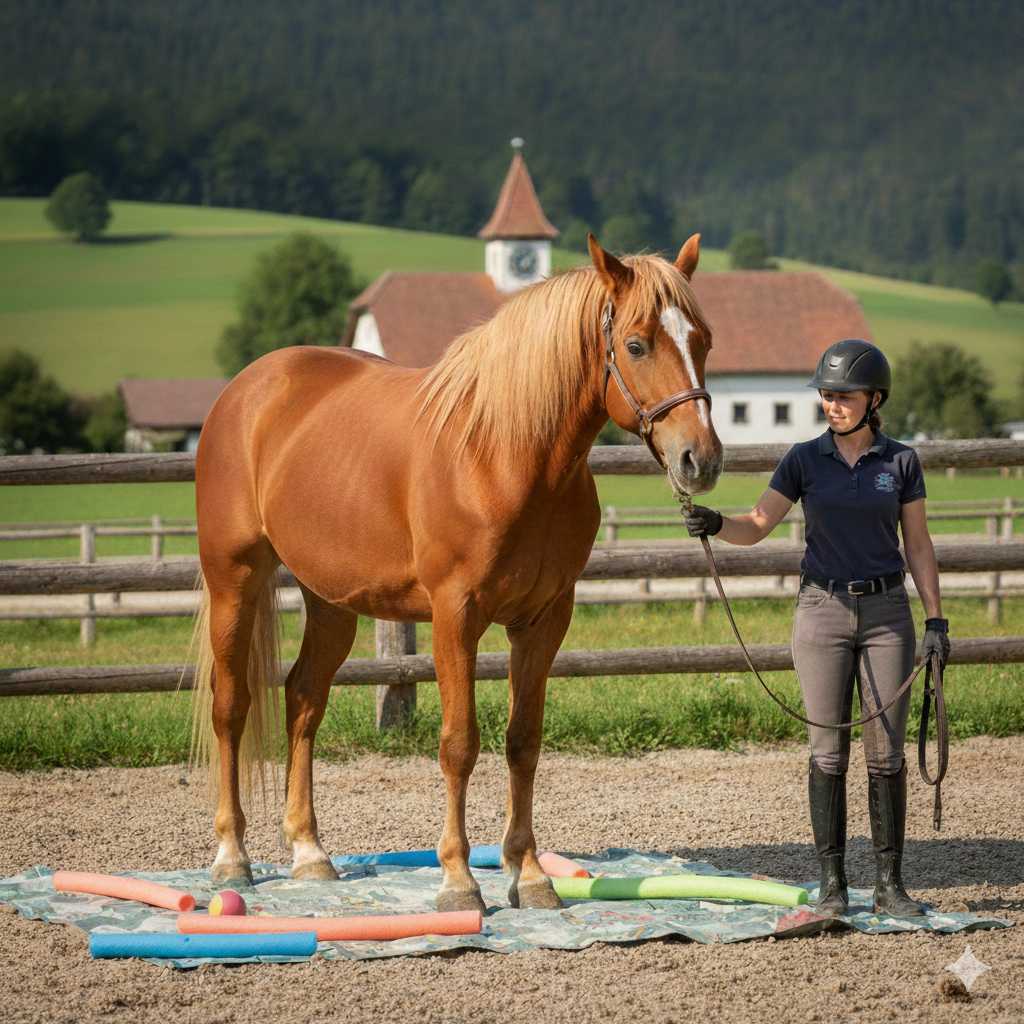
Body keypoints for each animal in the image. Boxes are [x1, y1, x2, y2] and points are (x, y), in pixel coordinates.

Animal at [189, 233, 723, 912]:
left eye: (702, 340)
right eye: (636, 344)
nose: (700, 459)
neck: (502, 454)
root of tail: (247, 389)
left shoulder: (544, 620)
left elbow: (523, 741)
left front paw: (530, 876)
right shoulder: (455, 615)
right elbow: (458, 743)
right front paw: (459, 881)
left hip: (331, 600)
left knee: (303, 699)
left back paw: (310, 853)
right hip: (235, 579)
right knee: (231, 706)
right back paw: (232, 858)